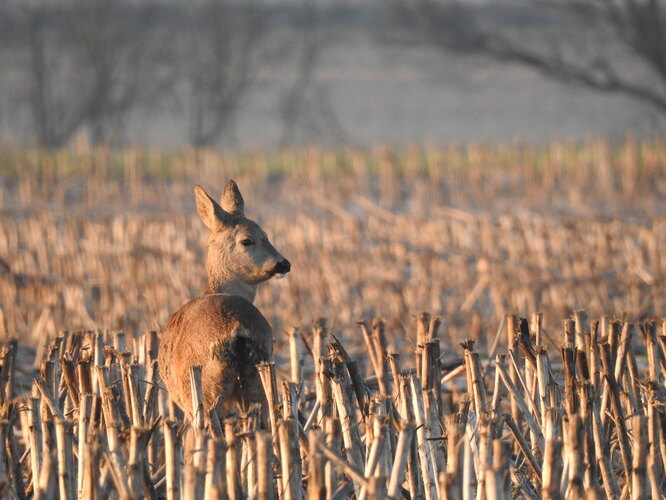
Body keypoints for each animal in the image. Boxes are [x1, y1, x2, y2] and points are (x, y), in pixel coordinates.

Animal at [158, 182, 290, 420]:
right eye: (247, 240)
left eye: (266, 235)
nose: (283, 264)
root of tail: (237, 329)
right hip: (259, 379)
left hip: (203, 389)